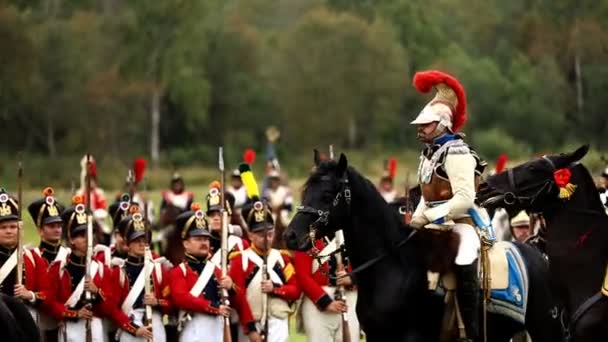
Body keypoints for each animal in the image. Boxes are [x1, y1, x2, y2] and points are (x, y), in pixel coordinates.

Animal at [284, 153, 560, 342]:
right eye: (306, 190)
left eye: (328, 194)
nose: (290, 236)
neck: (392, 265)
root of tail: (539, 255)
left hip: (545, 327)